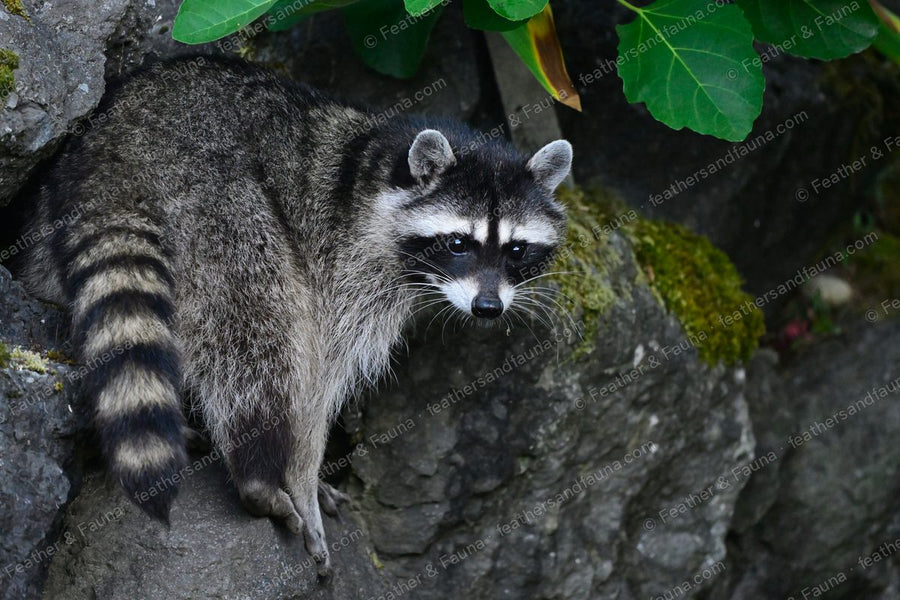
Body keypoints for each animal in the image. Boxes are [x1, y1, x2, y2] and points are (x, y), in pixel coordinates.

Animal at [19, 56, 571, 574]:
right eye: (459, 243)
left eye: (517, 250)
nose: (488, 307)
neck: (379, 164)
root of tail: (112, 154)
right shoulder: (344, 266)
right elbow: (314, 381)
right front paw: (303, 476)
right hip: (217, 204)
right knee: (259, 331)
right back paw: (257, 472)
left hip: (52, 223)